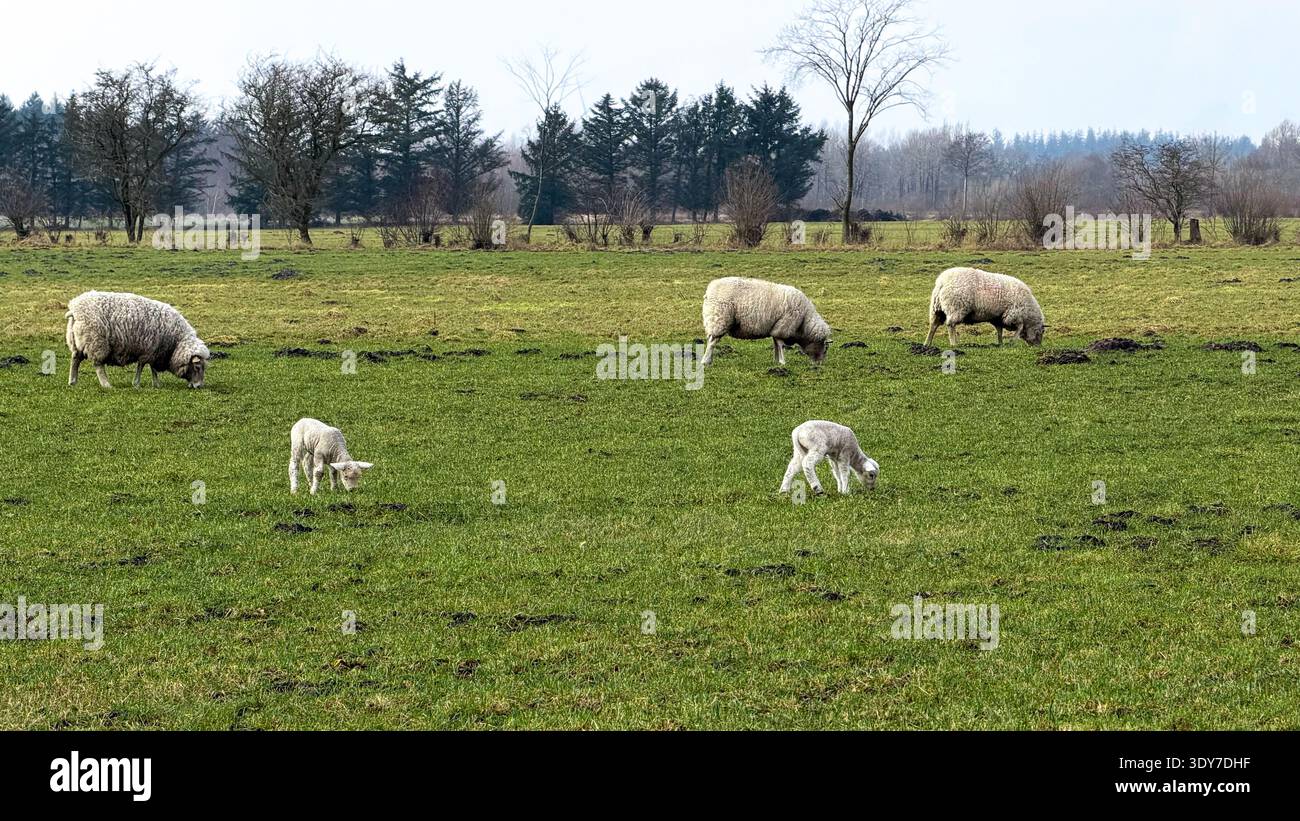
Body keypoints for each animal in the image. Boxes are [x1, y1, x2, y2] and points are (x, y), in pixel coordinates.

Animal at [65, 291, 211, 389]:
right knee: (98, 365)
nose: (199, 386)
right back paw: (106, 384)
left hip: (77, 341)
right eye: (197, 366)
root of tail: (75, 309)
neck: (176, 342)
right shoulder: (149, 350)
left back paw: (72, 381)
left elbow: (152, 368)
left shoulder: (155, 351)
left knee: (75, 359)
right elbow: (142, 366)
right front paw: (137, 383)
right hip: (96, 342)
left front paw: (156, 384)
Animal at [701, 276, 831, 366]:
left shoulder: (776, 327)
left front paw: (776, 360)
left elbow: (775, 344)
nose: (819, 365)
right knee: (712, 341)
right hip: (719, 319)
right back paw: (706, 361)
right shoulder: (784, 326)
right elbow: (780, 344)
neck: (804, 323)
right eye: (825, 349)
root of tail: (709, 290)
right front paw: (783, 361)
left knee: (711, 340)